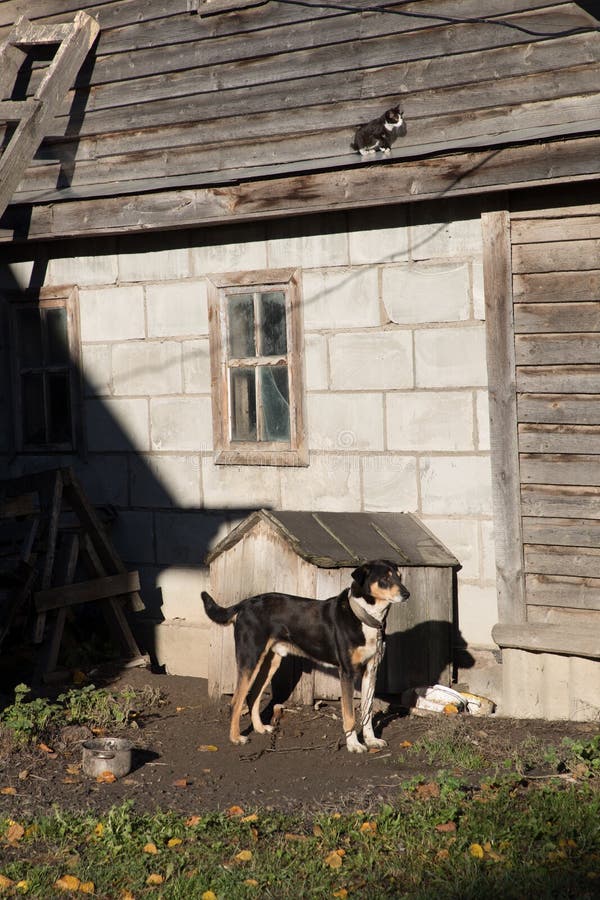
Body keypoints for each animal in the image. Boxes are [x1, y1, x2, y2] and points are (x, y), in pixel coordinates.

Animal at [200, 560, 408, 756]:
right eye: (385, 578)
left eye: (399, 577)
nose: (407, 595)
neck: (364, 617)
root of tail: (244, 604)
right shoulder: (347, 673)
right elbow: (350, 715)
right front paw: (354, 745)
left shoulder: (370, 671)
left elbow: (367, 711)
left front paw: (371, 740)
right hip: (250, 659)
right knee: (236, 701)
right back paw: (236, 738)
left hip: (270, 662)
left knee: (254, 696)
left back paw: (259, 728)